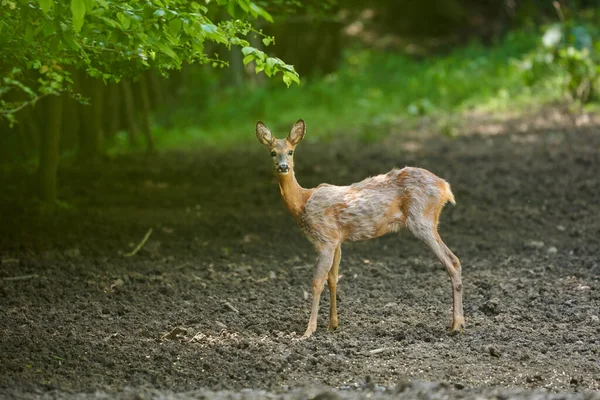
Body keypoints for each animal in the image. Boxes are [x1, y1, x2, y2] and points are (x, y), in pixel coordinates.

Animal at [253, 119, 464, 338]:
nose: (283, 166)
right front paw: (332, 325)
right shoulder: (337, 241)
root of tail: (445, 188)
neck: (302, 202)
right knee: (456, 260)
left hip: (421, 219)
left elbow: (317, 282)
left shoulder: (325, 238)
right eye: (272, 152)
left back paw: (456, 325)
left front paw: (309, 331)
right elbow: (333, 279)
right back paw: (457, 323)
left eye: (291, 151)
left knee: (451, 262)